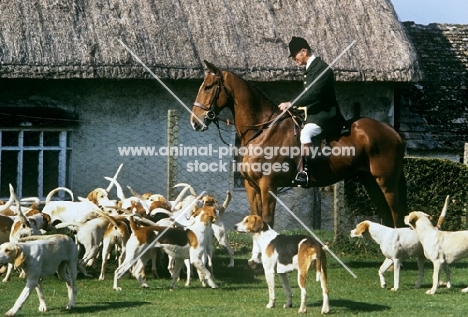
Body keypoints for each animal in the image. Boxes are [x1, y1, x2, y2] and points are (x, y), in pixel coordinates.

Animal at [190, 59, 406, 227]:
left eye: (208, 87)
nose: (195, 122)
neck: (263, 131)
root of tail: (392, 131)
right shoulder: (251, 186)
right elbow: (255, 218)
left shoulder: (268, 186)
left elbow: (267, 221)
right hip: (370, 181)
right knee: (387, 219)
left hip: (386, 183)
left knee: (397, 218)